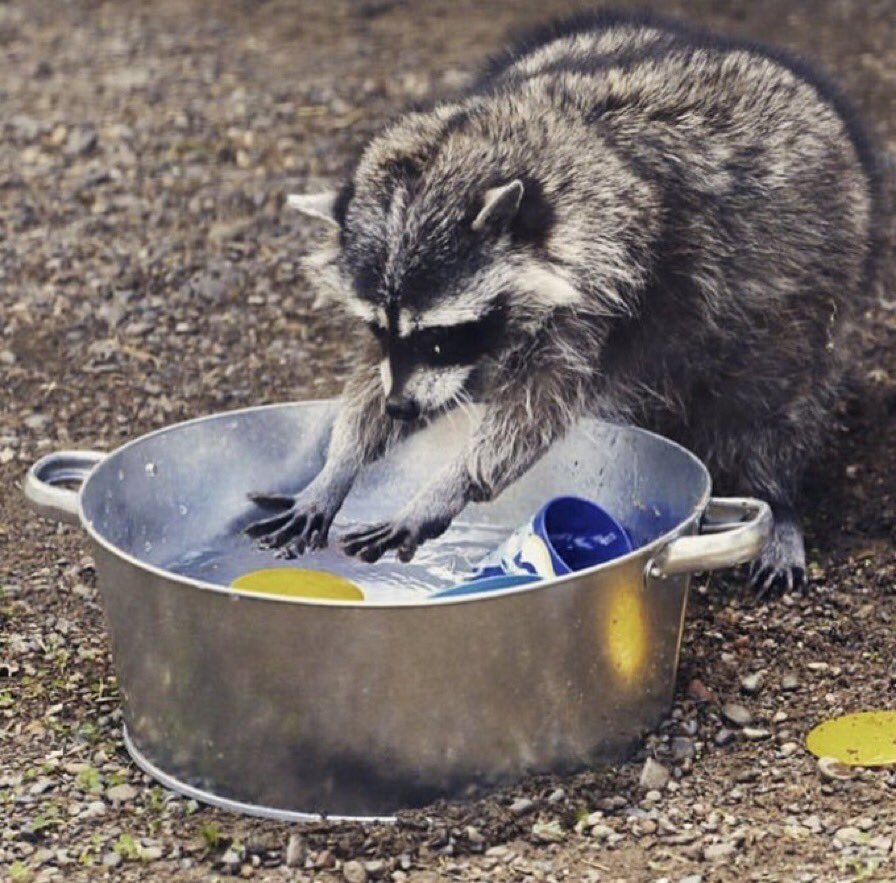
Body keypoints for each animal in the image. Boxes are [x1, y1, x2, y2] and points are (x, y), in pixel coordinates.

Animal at [248, 10, 880, 592]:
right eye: (380, 330)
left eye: (438, 336)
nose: (401, 409)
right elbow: (411, 383)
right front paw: (340, 463)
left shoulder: (621, 289)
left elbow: (537, 406)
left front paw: (450, 483)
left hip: (809, 283)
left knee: (777, 398)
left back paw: (775, 493)